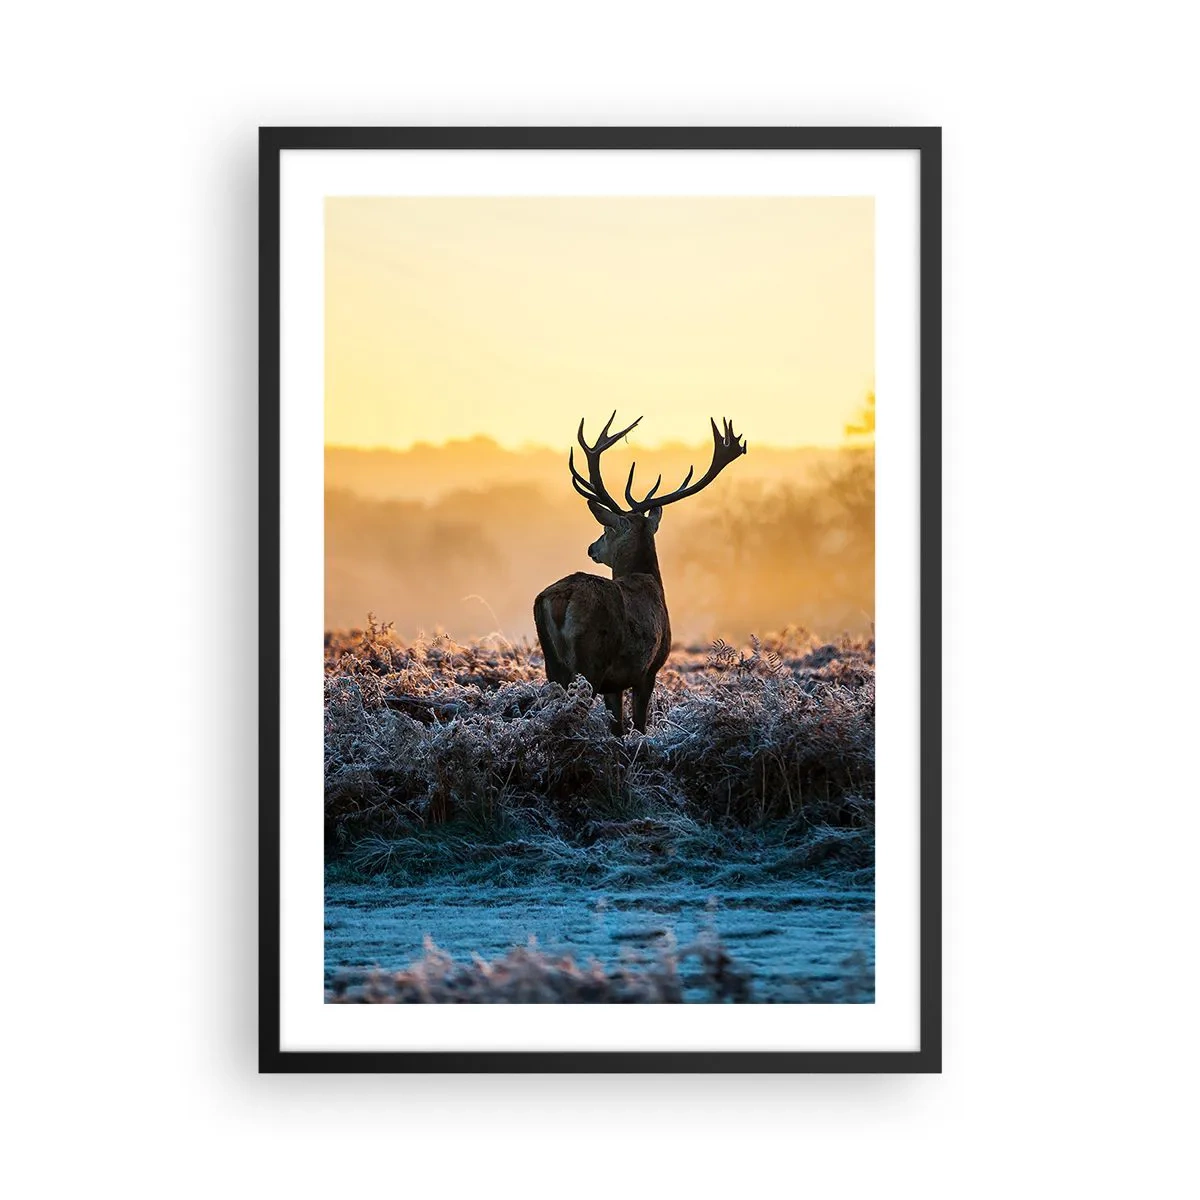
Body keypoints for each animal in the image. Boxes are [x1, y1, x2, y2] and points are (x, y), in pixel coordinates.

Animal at [534, 413, 747, 734]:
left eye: (606, 529)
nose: (592, 548)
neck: (649, 579)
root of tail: (561, 599)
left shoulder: (616, 683)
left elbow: (618, 728)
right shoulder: (648, 669)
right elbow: (639, 725)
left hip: (553, 664)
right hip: (591, 660)